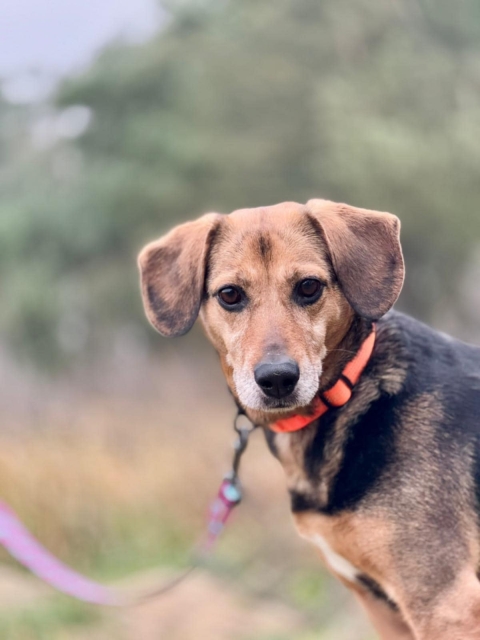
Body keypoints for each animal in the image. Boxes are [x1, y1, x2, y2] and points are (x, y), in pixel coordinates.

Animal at [138, 200, 480, 639]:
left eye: (308, 287)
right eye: (230, 295)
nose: (277, 379)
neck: (353, 390)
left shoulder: (444, 602)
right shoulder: (384, 610)